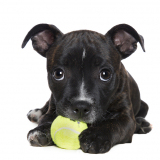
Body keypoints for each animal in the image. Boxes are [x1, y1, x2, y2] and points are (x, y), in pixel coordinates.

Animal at [21, 23, 152, 154]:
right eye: (58, 73)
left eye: (105, 74)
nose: (80, 106)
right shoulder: (54, 106)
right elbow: (47, 119)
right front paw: (41, 130)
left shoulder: (126, 118)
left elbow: (114, 124)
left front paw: (96, 136)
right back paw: (36, 113)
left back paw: (141, 124)